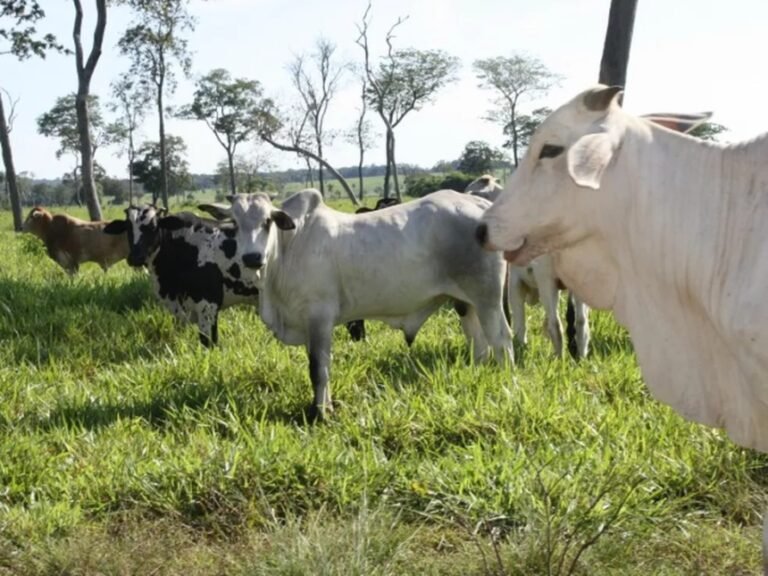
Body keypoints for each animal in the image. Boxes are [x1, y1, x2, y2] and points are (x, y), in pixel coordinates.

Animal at [200, 189, 514, 419]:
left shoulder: (319, 316)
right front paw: (324, 405)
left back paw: (505, 379)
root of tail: (478, 203)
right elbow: (320, 366)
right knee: (480, 345)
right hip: (466, 303)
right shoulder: (310, 324)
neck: (288, 248)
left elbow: (318, 368)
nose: (253, 258)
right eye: (234, 224)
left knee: (502, 340)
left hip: (487, 298)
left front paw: (320, 414)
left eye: (267, 221)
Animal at [464, 176, 591, 359]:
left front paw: (520, 345)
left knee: (555, 323)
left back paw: (560, 359)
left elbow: (517, 318)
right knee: (581, 320)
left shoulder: (514, 282)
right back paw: (580, 356)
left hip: (546, 280)